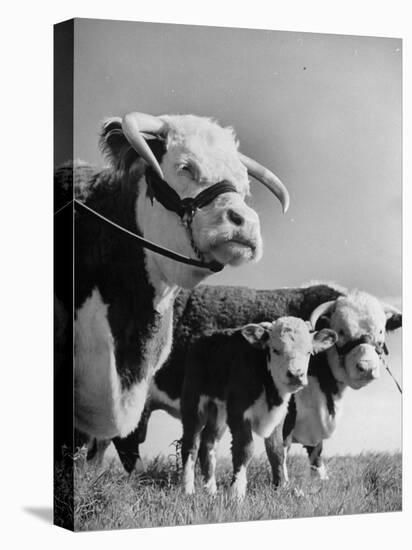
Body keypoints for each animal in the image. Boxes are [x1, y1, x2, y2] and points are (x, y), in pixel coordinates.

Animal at [180, 316, 338, 502]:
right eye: (275, 350)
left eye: (308, 352)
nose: (296, 375)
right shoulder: (238, 413)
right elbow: (245, 449)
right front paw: (236, 492)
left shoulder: (279, 416)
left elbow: (277, 451)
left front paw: (281, 487)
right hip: (193, 404)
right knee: (191, 444)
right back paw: (188, 489)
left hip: (218, 412)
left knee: (208, 444)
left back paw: (211, 490)